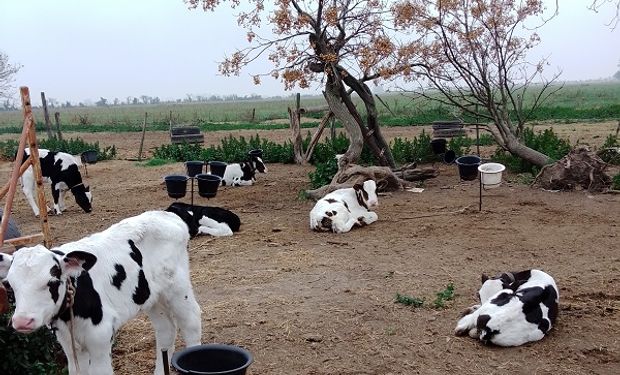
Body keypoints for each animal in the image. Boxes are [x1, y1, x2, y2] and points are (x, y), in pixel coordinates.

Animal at [0, 212, 201, 375]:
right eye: (9, 284)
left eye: (52, 282)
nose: (22, 321)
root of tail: (167, 215)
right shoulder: (68, 344)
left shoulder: (100, 339)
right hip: (152, 297)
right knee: (165, 329)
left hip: (178, 288)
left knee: (191, 321)